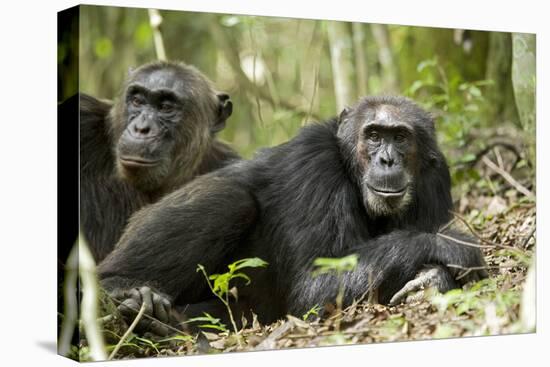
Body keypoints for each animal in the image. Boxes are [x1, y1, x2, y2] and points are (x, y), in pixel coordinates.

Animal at [98, 95, 488, 334]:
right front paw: (453, 248)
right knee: (230, 198)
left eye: (401, 137)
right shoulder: (314, 164)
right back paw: (126, 293)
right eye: (374, 135)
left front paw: (434, 278)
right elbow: (315, 284)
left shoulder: (436, 175)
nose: (387, 159)